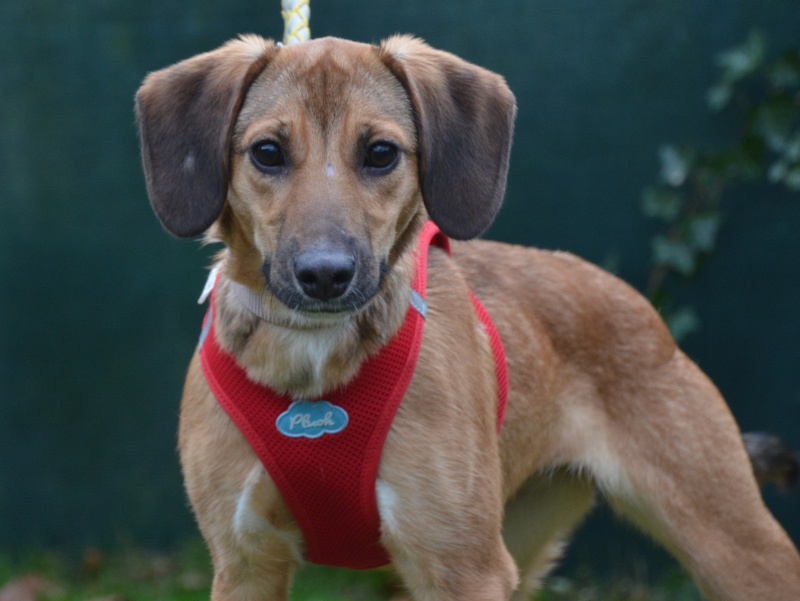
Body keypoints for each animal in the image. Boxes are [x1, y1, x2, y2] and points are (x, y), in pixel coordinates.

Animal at [135, 35, 800, 600]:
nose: (325, 275)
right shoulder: (246, 564)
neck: (314, 366)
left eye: (381, 153)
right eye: (267, 153)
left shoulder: (462, 568)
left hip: (734, 545)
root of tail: (644, 313)